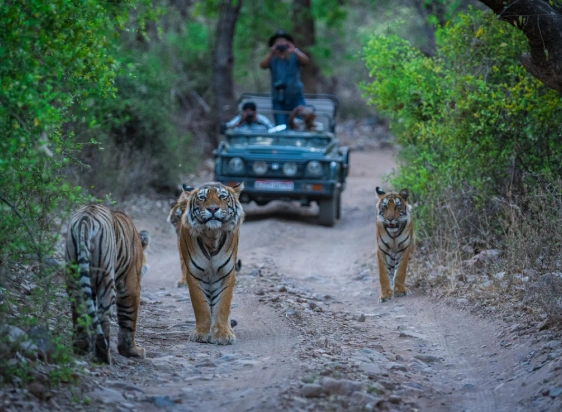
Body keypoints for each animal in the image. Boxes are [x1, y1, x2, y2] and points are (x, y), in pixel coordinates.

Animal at [64, 204, 149, 362]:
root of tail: (86, 219)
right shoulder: (131, 285)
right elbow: (128, 318)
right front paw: (132, 351)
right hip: (106, 280)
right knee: (103, 317)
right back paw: (103, 356)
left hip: (73, 275)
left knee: (79, 310)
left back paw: (82, 348)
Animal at [176, 182, 244, 346]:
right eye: (202, 198)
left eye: (222, 196)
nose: (213, 209)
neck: (212, 236)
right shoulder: (194, 274)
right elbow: (200, 305)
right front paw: (201, 333)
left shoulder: (226, 273)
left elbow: (223, 305)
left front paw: (223, 334)